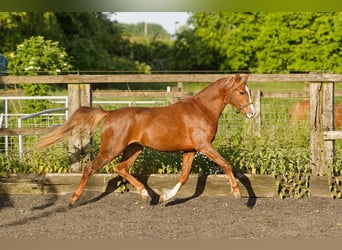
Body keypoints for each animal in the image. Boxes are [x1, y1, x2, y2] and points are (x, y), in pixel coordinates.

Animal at [38, 73, 255, 205]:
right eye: (241, 92)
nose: (252, 113)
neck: (202, 110)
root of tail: (110, 114)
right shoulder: (204, 146)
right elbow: (226, 164)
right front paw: (238, 193)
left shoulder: (191, 150)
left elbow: (184, 176)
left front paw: (165, 197)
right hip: (112, 149)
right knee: (90, 168)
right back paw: (74, 198)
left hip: (134, 148)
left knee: (121, 168)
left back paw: (145, 194)